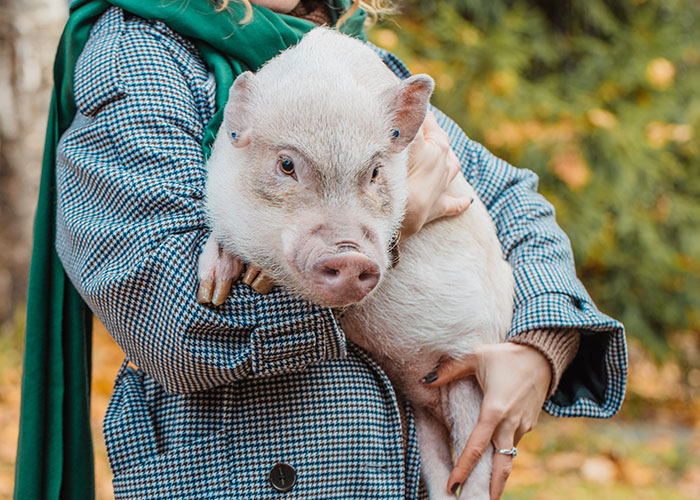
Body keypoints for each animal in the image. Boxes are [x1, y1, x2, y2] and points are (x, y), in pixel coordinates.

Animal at [197, 27, 514, 500]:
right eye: (286, 164)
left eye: (376, 172)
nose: (348, 253)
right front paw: (213, 289)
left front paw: (253, 277)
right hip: (424, 418)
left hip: (472, 378)